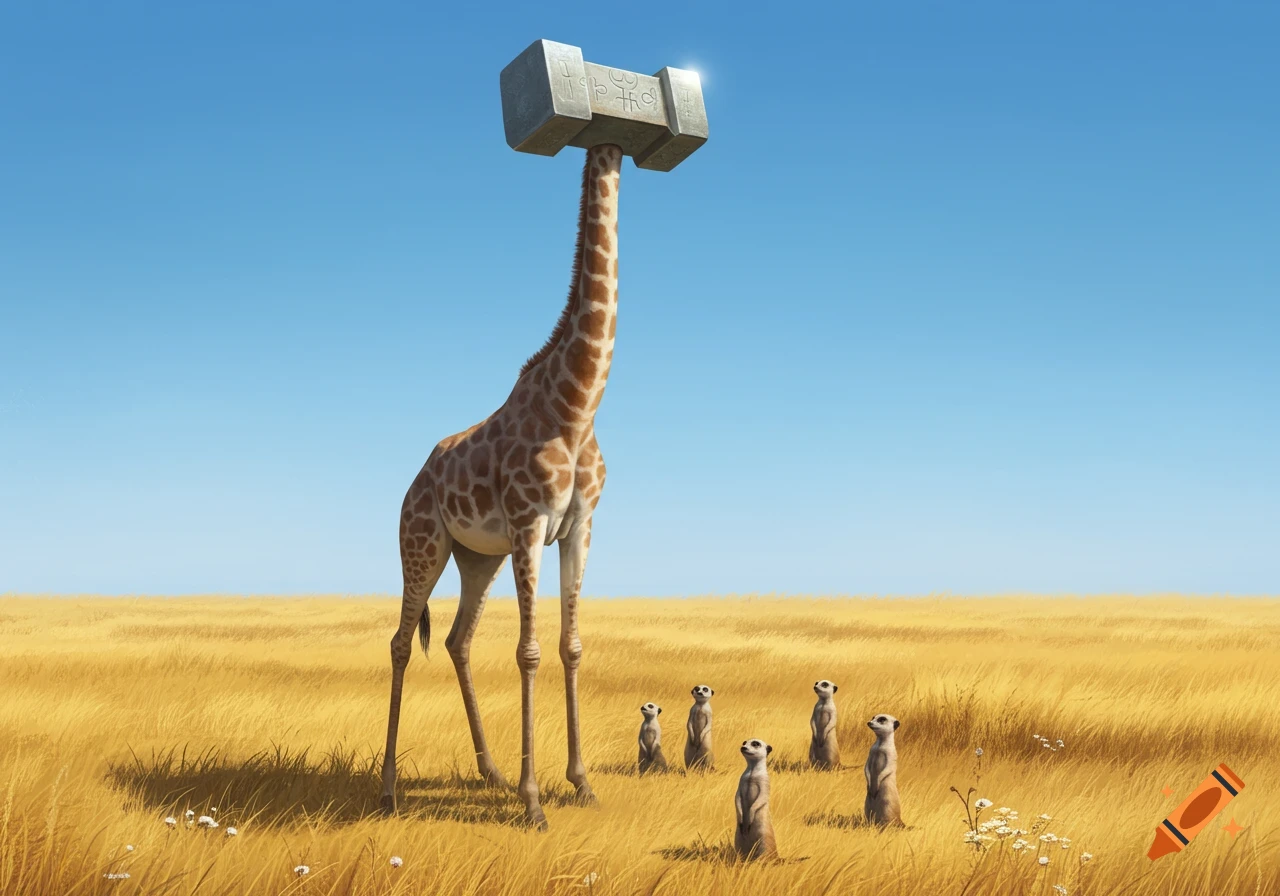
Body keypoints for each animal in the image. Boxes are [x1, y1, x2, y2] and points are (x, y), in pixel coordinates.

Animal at [379, 143, 623, 829]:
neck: (577, 406)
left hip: (477, 557)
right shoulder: (528, 522)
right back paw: (388, 789)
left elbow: (570, 646)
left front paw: (581, 783)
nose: (615, 153)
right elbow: (529, 650)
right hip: (422, 542)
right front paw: (535, 800)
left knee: (457, 640)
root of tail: (416, 479)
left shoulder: (580, 526)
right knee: (401, 641)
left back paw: (489, 772)